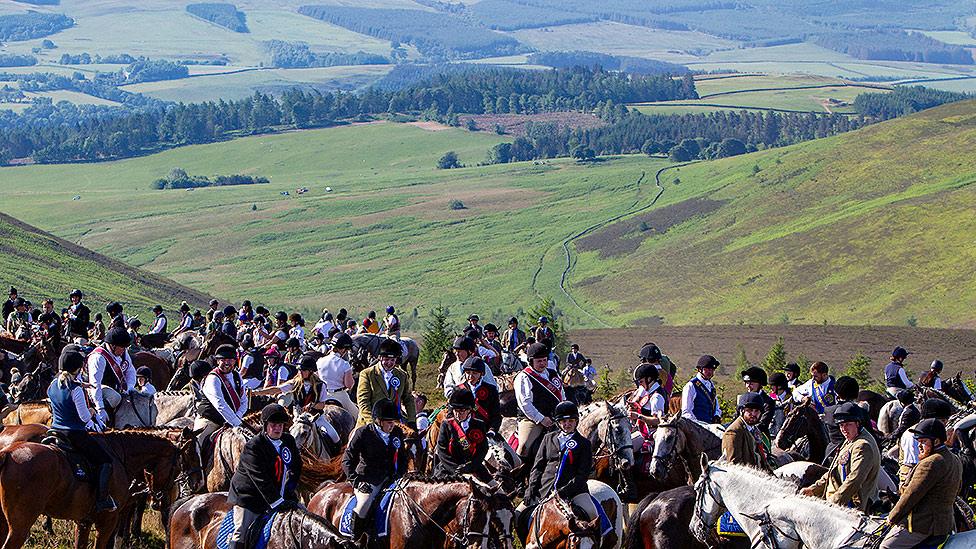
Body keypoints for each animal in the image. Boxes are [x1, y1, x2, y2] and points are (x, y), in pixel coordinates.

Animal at [0, 428, 200, 548]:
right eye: (189, 455)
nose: (197, 483)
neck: (120, 454)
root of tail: (7, 453)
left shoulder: (84, 522)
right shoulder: (108, 522)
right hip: (20, 525)